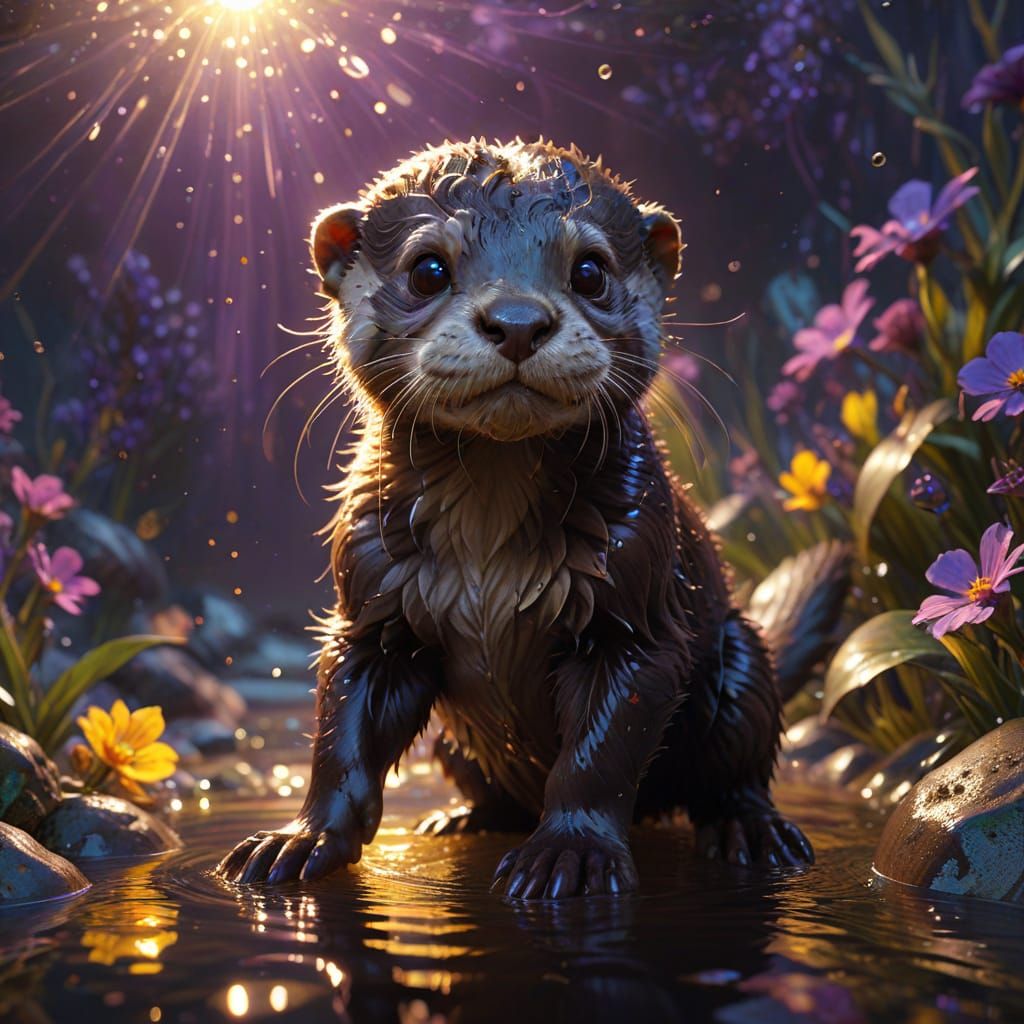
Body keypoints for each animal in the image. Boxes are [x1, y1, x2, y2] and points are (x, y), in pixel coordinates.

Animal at [217, 138, 846, 899]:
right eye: (427, 269)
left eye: (590, 270)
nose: (517, 321)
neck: (489, 559)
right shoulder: (370, 606)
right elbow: (341, 737)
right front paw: (298, 841)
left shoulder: (631, 606)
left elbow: (601, 755)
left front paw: (570, 854)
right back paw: (459, 818)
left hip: (743, 664)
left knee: (739, 768)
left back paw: (752, 831)